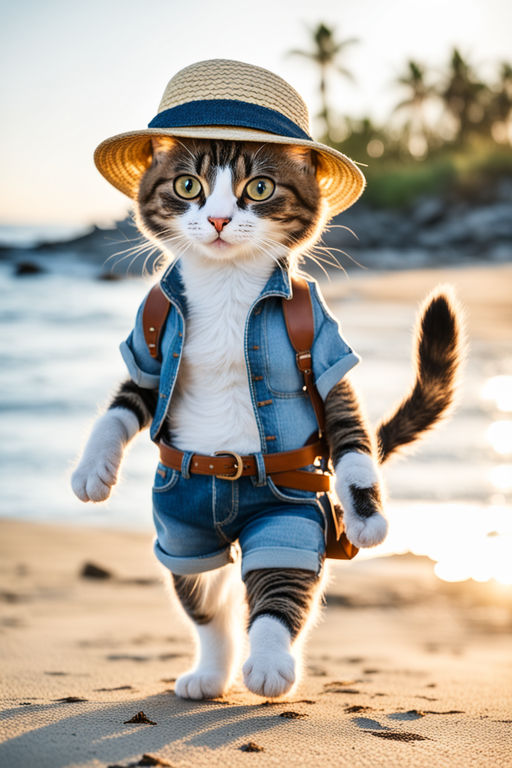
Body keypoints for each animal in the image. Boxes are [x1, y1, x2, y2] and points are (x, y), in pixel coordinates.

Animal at [71, 136, 460, 704]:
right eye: (188, 185)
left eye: (258, 188)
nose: (217, 219)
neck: (227, 287)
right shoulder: (150, 342)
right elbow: (126, 402)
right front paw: (92, 470)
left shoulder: (322, 342)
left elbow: (346, 424)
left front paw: (366, 513)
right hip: (184, 534)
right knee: (205, 600)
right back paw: (212, 673)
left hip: (291, 512)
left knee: (279, 578)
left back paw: (271, 661)